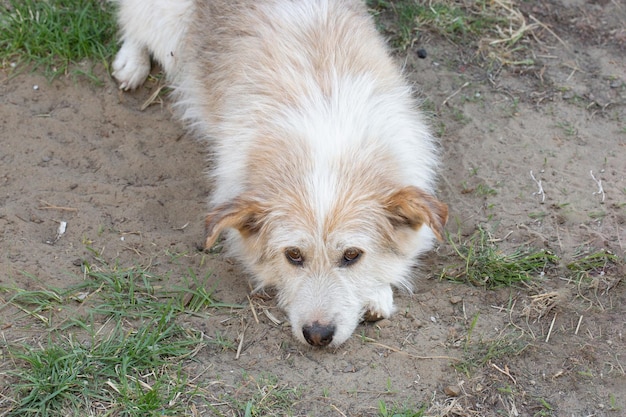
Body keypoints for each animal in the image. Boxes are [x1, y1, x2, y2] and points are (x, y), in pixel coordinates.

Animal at [111, 0, 444, 346]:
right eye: (293, 255)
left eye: (352, 255)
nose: (317, 336)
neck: (324, 136)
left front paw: (378, 292)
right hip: (169, 21)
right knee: (134, 23)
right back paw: (131, 62)